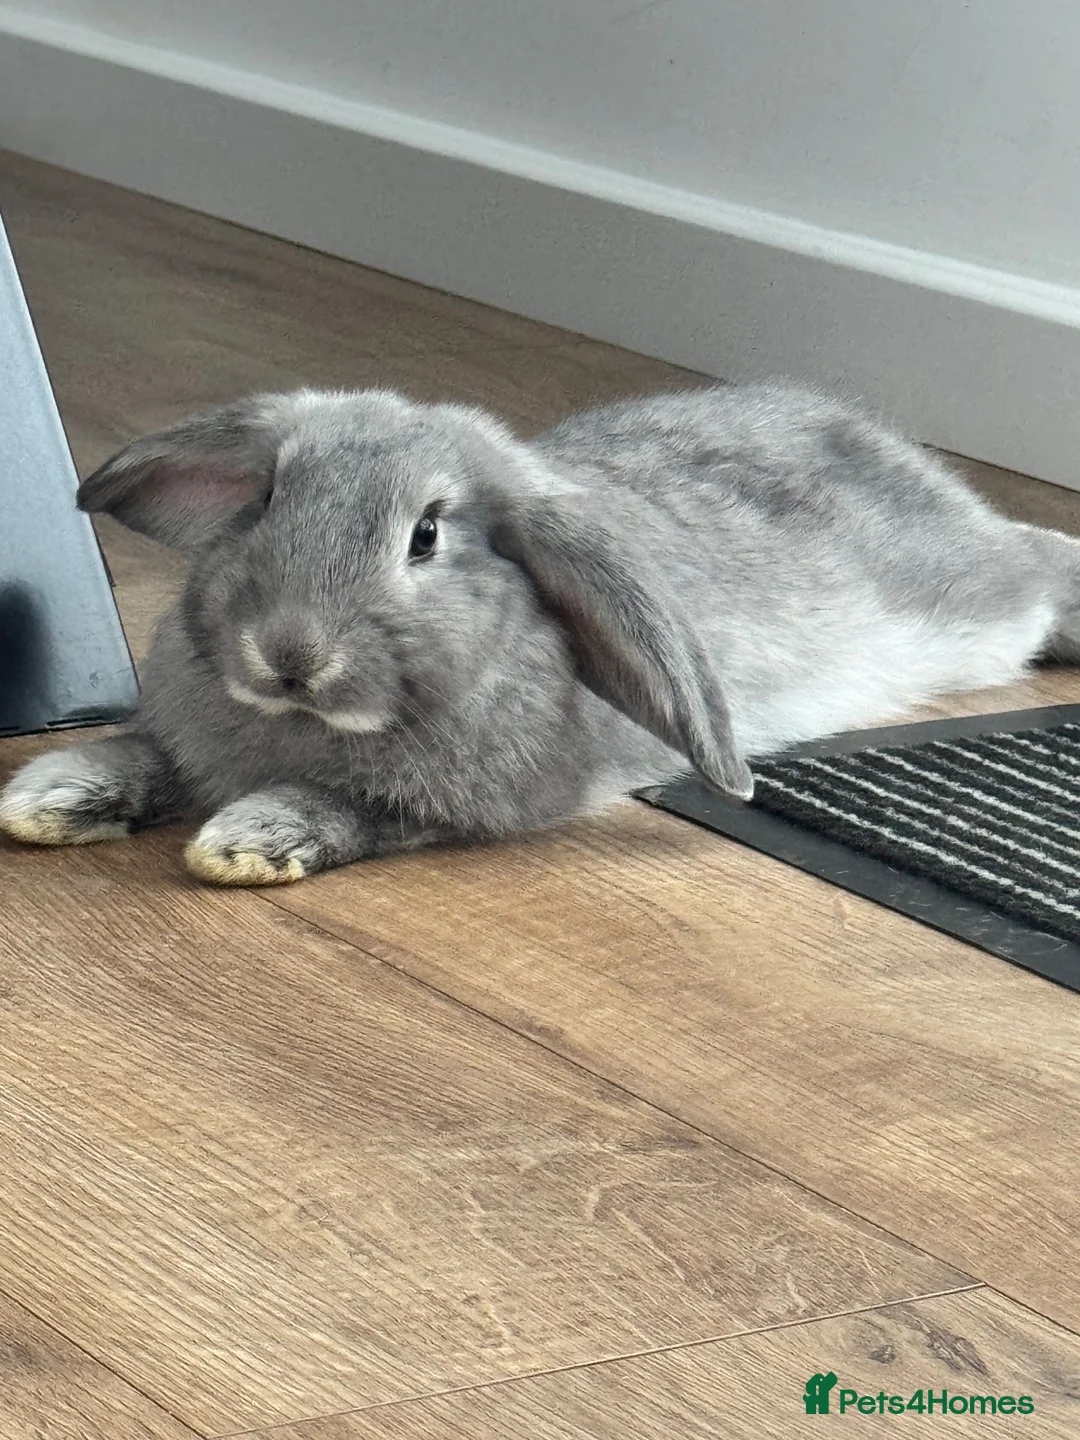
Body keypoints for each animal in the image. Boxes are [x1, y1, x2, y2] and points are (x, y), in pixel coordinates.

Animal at [2, 381, 1079, 887]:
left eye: (426, 536)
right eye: (264, 499)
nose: (290, 653)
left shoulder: (458, 806)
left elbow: (348, 806)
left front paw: (252, 839)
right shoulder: (184, 738)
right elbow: (145, 755)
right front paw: (51, 795)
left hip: (973, 591)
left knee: (1035, 561)